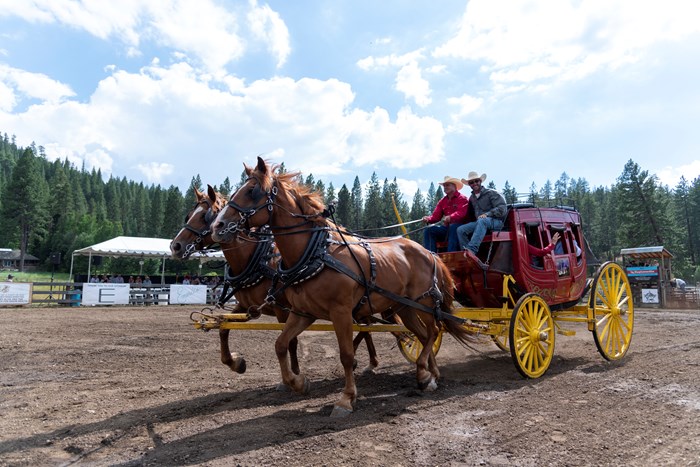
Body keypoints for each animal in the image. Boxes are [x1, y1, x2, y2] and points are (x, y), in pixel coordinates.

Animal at [169, 185, 378, 382]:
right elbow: (224, 329)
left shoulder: (283, 308)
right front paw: (236, 363)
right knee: (367, 327)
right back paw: (370, 362)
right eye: (189, 215)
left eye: (205, 216)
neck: (256, 259)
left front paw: (294, 374)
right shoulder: (246, 306)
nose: (175, 246)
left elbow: (291, 340)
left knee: (367, 326)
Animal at [211, 157, 478, 416]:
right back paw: (428, 375)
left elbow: (347, 355)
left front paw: (346, 399)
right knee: (423, 335)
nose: (218, 226)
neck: (315, 254)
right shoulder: (302, 313)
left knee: (433, 331)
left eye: (252, 191)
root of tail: (429, 253)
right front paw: (298, 383)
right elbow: (280, 344)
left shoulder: (341, 312)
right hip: (404, 307)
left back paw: (425, 373)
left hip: (423, 302)